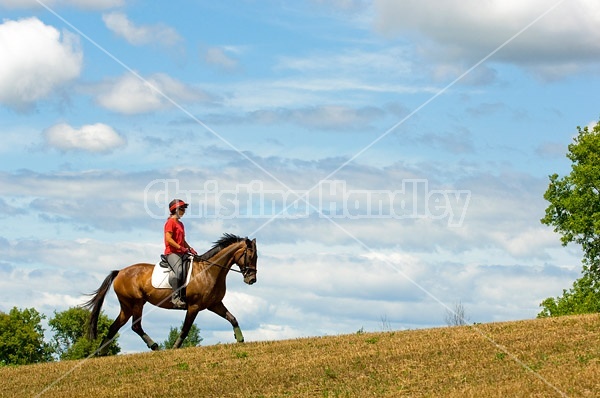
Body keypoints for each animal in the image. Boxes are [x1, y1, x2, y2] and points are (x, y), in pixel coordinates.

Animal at [82, 232, 258, 352]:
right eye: (250, 256)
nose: (252, 280)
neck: (210, 271)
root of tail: (119, 272)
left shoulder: (214, 304)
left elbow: (232, 318)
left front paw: (240, 340)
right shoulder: (194, 306)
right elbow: (186, 329)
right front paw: (175, 348)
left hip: (127, 306)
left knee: (114, 327)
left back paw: (100, 354)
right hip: (136, 303)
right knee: (136, 326)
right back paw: (155, 346)